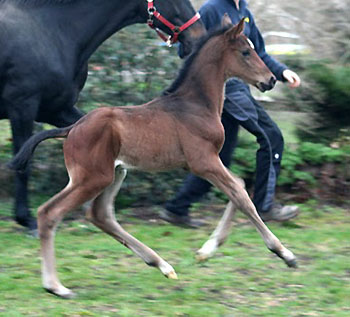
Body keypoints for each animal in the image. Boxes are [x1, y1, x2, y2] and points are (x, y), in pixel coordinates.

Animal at [9, 17, 296, 298]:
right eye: (246, 51)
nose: (271, 80)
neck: (195, 105)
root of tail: (71, 128)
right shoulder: (203, 161)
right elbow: (240, 191)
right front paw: (284, 253)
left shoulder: (206, 163)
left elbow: (239, 186)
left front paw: (206, 251)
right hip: (91, 178)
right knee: (50, 212)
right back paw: (55, 286)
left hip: (115, 173)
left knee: (100, 214)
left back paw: (162, 265)